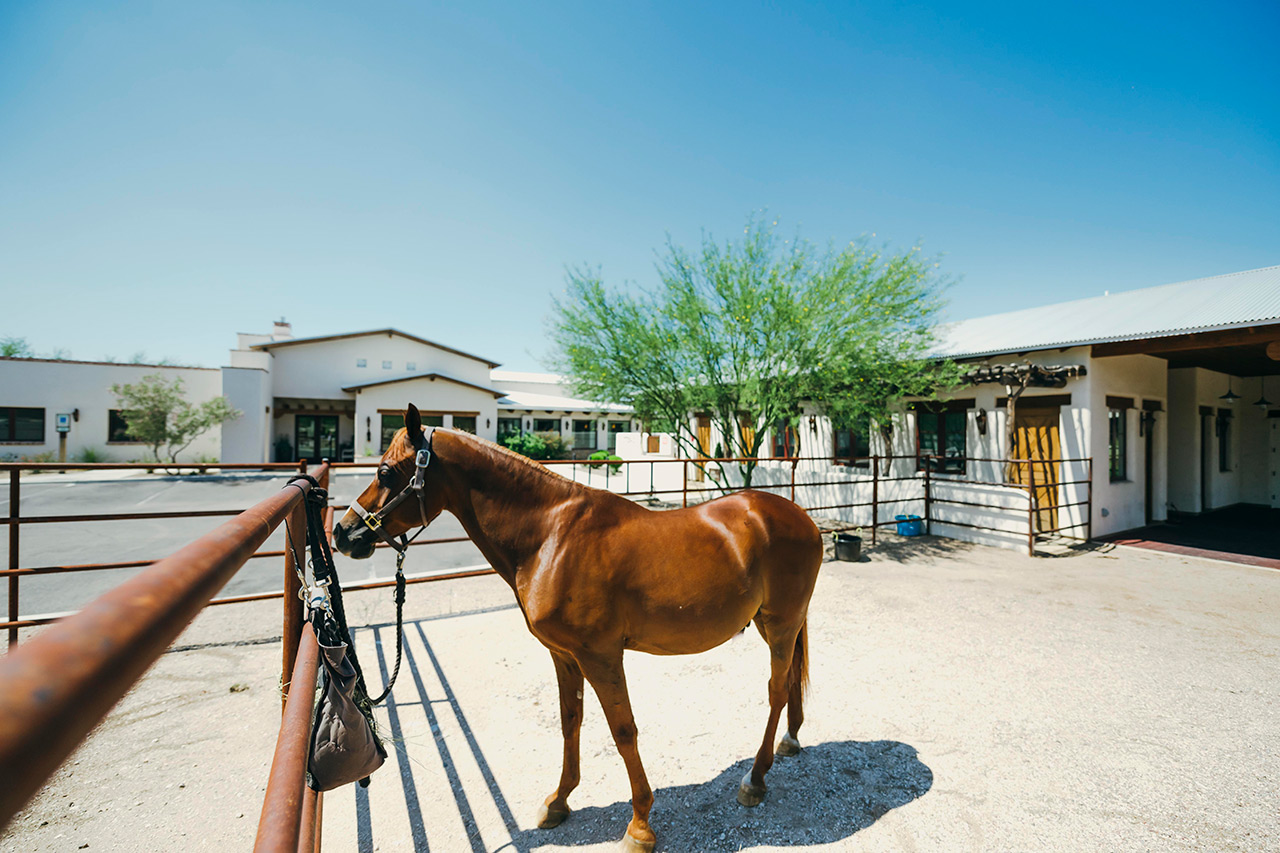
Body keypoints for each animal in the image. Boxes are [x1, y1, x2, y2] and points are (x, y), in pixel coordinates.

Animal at [335, 402, 824, 845]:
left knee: (776, 690)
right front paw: (559, 801)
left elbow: (623, 731)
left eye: (385, 472)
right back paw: (790, 740)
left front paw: (640, 825)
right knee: (786, 687)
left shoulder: (601, 656)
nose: (343, 533)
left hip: (780, 625)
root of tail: (800, 516)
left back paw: (755, 779)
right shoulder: (564, 655)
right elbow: (571, 721)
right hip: (770, 624)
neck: (551, 537)